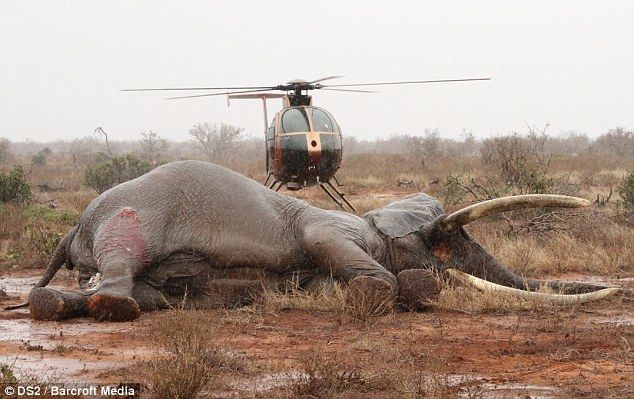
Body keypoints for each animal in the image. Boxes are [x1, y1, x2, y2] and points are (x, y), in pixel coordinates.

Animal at [4, 160, 616, 322]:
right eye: (443, 244)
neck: (372, 223)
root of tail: (72, 229)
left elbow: (323, 284)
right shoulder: (330, 228)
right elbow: (335, 249)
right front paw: (408, 286)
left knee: (135, 289)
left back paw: (60, 303)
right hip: (131, 215)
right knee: (121, 268)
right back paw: (103, 307)